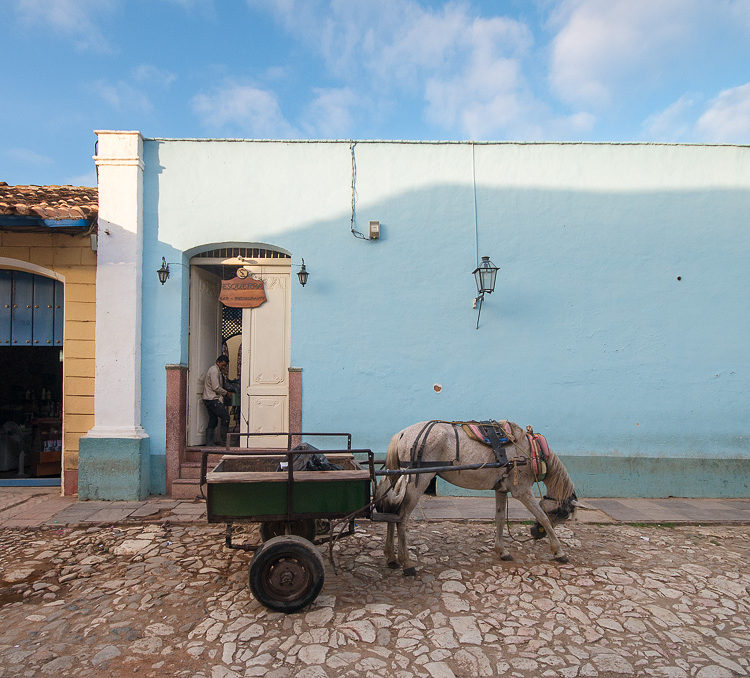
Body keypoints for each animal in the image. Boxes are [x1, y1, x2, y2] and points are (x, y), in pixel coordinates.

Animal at [374, 422, 580, 576]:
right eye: (561, 514)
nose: (535, 533)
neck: (532, 451)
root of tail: (402, 434)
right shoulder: (521, 491)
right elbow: (543, 517)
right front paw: (559, 551)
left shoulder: (501, 489)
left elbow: (499, 520)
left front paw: (502, 551)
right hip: (418, 480)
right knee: (401, 518)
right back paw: (407, 563)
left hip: (397, 477)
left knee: (391, 512)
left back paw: (391, 557)